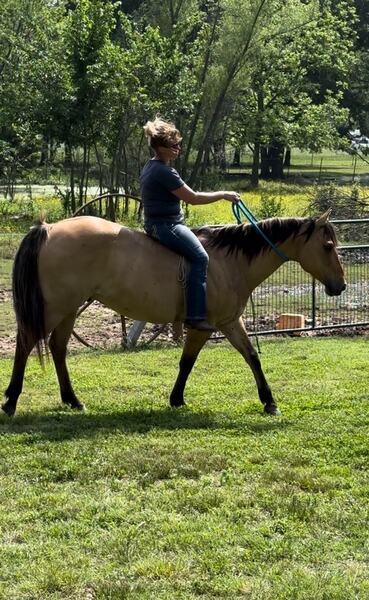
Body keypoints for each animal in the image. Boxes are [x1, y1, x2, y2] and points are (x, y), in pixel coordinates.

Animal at [2, 211, 344, 418]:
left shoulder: (230, 322)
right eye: (328, 246)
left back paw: (72, 400)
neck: (228, 262)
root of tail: (48, 228)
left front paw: (269, 401)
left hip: (69, 309)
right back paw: (10, 401)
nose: (339, 285)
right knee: (26, 343)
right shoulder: (203, 327)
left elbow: (252, 357)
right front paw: (177, 399)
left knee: (58, 348)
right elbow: (187, 362)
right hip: (55, 308)